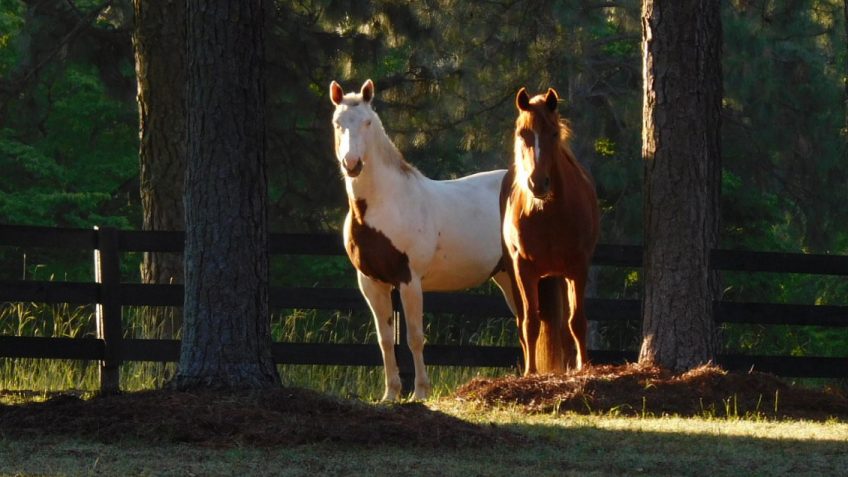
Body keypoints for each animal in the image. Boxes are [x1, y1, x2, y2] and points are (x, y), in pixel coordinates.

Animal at [330, 80, 516, 400]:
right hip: (505, 274)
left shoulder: (409, 280)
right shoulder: (371, 282)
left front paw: (419, 392)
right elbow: (385, 340)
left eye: (368, 122)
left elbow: (415, 338)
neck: (387, 203)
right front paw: (390, 394)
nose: (352, 164)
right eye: (337, 123)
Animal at [500, 87, 600, 374]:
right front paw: (530, 371)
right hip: (515, 274)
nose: (537, 183)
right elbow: (530, 323)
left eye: (553, 134)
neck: (548, 213)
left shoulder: (578, 267)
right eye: (522, 133)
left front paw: (583, 366)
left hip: (562, 275)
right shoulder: (524, 269)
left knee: (566, 326)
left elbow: (577, 321)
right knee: (523, 321)